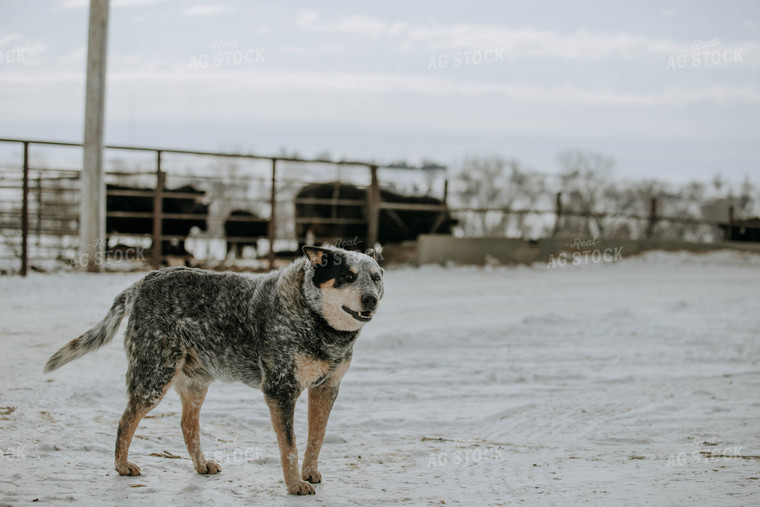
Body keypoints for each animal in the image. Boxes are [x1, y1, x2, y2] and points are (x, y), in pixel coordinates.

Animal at [44, 246, 382, 496]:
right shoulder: (280, 389)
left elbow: (317, 437)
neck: (316, 321)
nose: (371, 299)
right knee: (126, 419)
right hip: (155, 375)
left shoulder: (327, 388)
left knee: (186, 425)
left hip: (195, 382)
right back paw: (121, 465)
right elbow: (290, 445)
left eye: (376, 277)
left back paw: (201, 465)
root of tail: (143, 282)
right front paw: (294, 484)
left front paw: (309, 472)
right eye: (347, 276)